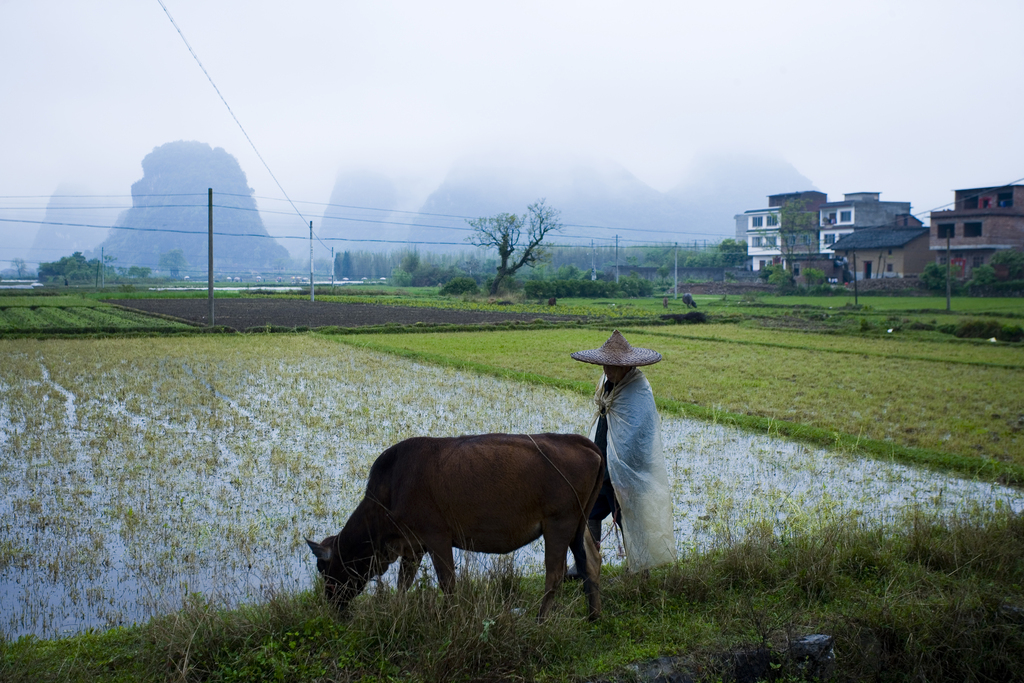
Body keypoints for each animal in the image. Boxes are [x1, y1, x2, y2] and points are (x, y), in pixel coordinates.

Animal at [307, 438, 602, 618]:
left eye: (323, 569)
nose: (332, 604)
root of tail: (580, 441)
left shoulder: (436, 536)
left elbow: (447, 583)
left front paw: (450, 616)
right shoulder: (413, 547)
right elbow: (403, 583)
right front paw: (398, 609)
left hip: (559, 523)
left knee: (554, 575)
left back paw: (540, 621)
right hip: (578, 526)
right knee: (590, 562)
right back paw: (593, 616)